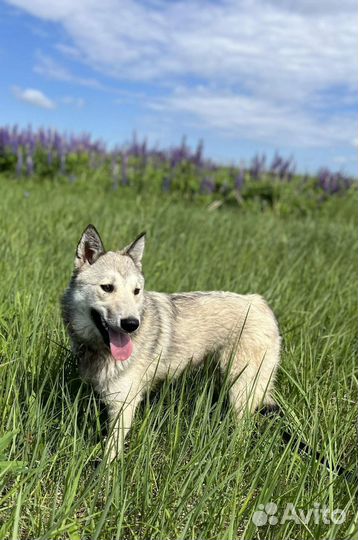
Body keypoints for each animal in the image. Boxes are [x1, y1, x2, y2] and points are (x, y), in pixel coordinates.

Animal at [61, 224, 282, 460]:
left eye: (136, 291)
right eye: (107, 288)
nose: (132, 324)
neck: (98, 350)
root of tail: (260, 303)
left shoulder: (124, 406)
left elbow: (110, 454)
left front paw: (104, 471)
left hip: (241, 392)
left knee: (243, 430)